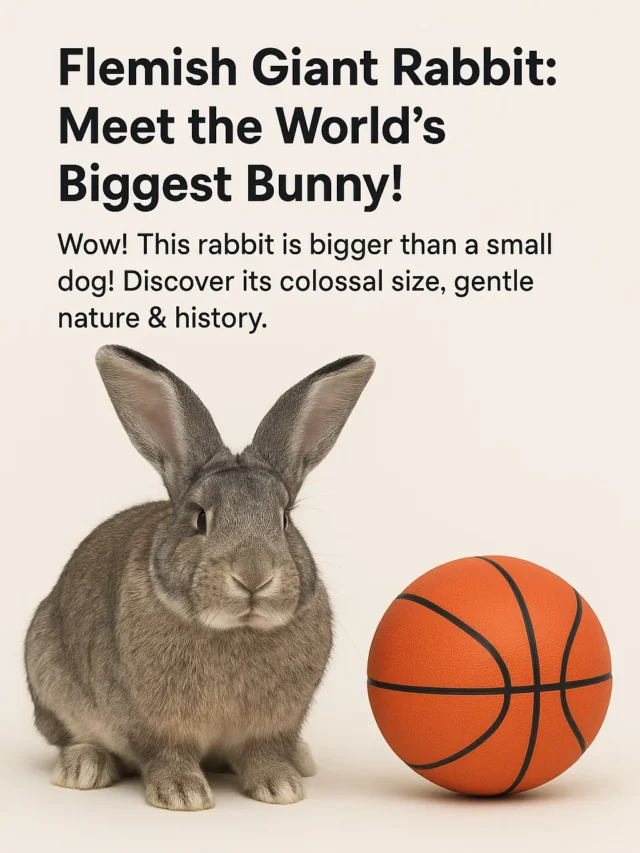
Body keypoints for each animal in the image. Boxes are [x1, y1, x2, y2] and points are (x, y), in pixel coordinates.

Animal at [24, 345, 375, 810]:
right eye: (200, 519)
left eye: (284, 519)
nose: (253, 576)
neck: (236, 630)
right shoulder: (154, 723)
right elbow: (167, 752)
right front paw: (182, 794)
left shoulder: (273, 725)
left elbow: (264, 752)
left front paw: (280, 787)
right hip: (47, 674)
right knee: (69, 737)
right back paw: (84, 768)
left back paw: (301, 760)